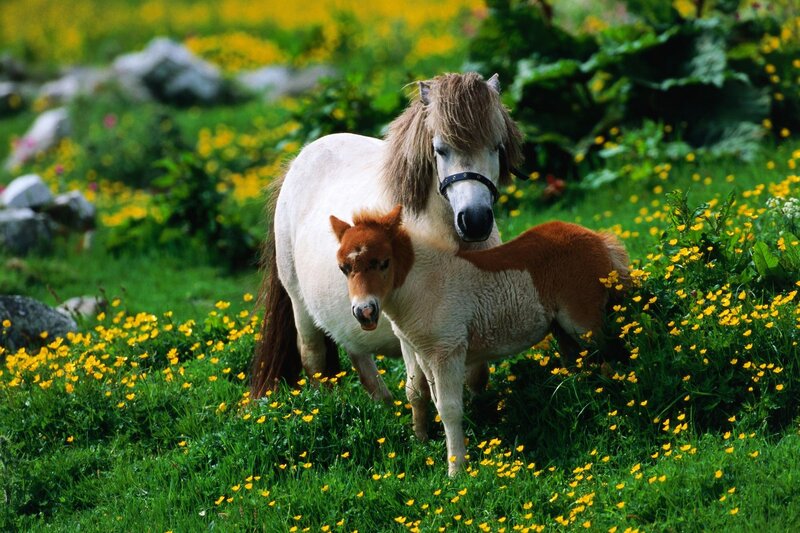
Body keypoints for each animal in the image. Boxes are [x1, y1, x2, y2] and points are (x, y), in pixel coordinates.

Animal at [251, 72, 524, 400]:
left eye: (496, 147)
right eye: (440, 149)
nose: (475, 220)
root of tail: (297, 163)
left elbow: (477, 376)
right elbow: (422, 386)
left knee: (357, 351)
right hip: (299, 303)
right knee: (313, 357)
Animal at [331, 205, 630, 476]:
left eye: (383, 262)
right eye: (343, 268)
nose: (364, 312)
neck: (424, 285)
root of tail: (598, 238)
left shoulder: (448, 351)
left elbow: (450, 409)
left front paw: (456, 470)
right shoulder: (425, 355)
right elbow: (428, 398)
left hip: (583, 323)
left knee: (613, 354)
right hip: (561, 329)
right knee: (579, 362)